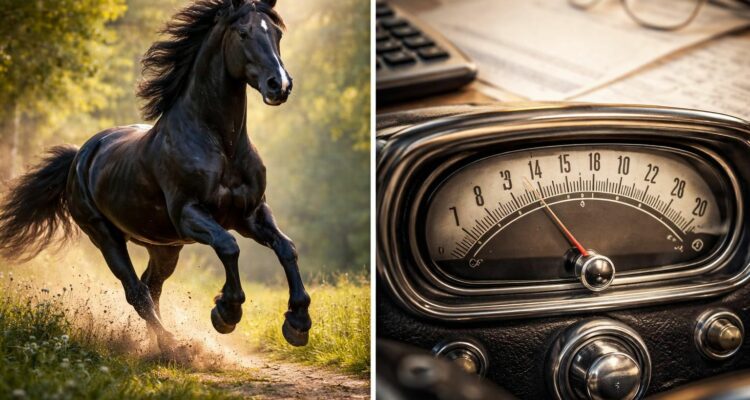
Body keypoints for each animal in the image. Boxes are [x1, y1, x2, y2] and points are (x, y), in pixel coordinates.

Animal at [0, 0, 311, 351]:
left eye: (277, 34)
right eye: (243, 33)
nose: (279, 85)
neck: (222, 146)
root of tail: (80, 155)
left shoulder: (251, 213)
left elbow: (286, 247)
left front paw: (298, 322)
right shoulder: (190, 214)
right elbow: (228, 246)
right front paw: (226, 312)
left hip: (164, 246)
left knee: (152, 286)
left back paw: (159, 344)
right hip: (104, 236)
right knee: (136, 291)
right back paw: (173, 345)